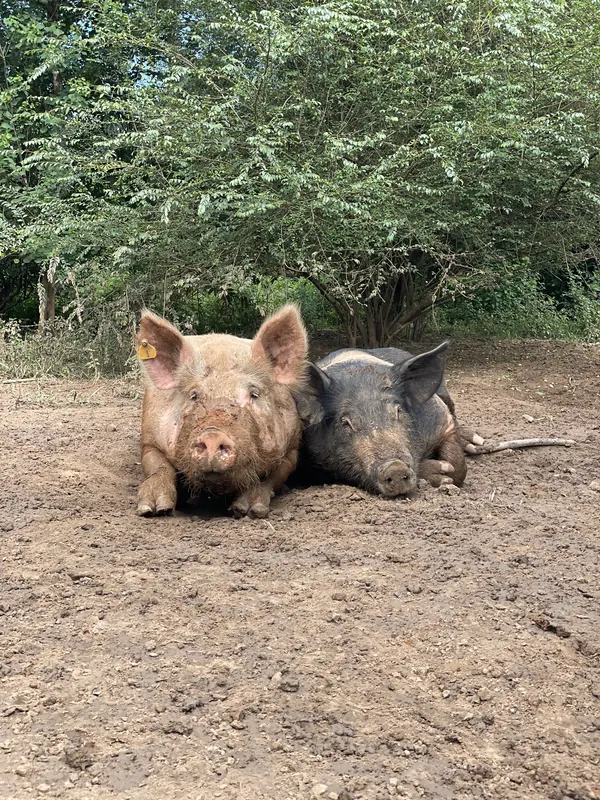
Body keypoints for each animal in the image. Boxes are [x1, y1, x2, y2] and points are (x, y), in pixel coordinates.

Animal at [136, 305, 308, 518]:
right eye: (193, 395)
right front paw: (152, 509)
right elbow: (158, 466)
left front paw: (248, 511)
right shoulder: (149, 440)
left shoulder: (292, 448)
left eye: (254, 394)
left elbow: (270, 477)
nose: (213, 435)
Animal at [296, 342, 468, 497]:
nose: (395, 467)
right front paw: (443, 473)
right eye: (345, 422)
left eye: (398, 411)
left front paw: (447, 473)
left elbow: (459, 466)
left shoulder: (441, 418)